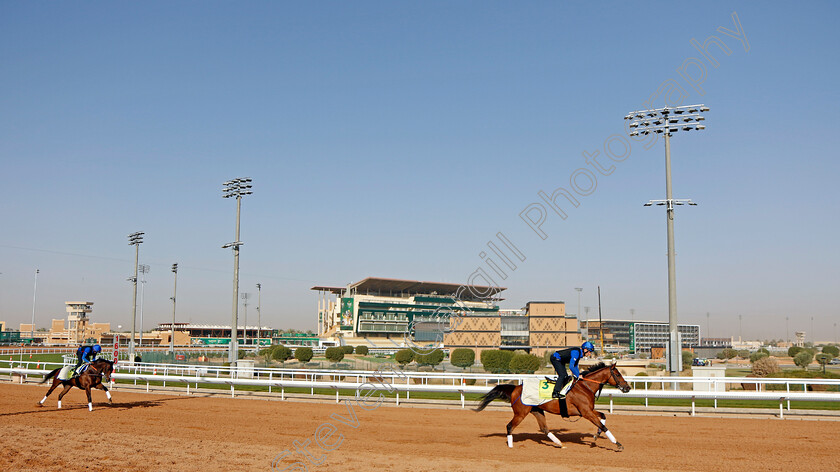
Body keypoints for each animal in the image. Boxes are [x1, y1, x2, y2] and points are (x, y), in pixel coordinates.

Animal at [476, 362, 632, 450]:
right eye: (618, 374)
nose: (628, 387)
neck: (584, 386)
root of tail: (515, 388)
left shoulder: (588, 410)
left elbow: (603, 417)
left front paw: (595, 436)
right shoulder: (586, 412)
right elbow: (603, 425)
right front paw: (618, 444)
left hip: (537, 410)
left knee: (544, 428)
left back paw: (560, 444)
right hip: (521, 413)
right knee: (509, 426)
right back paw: (510, 446)